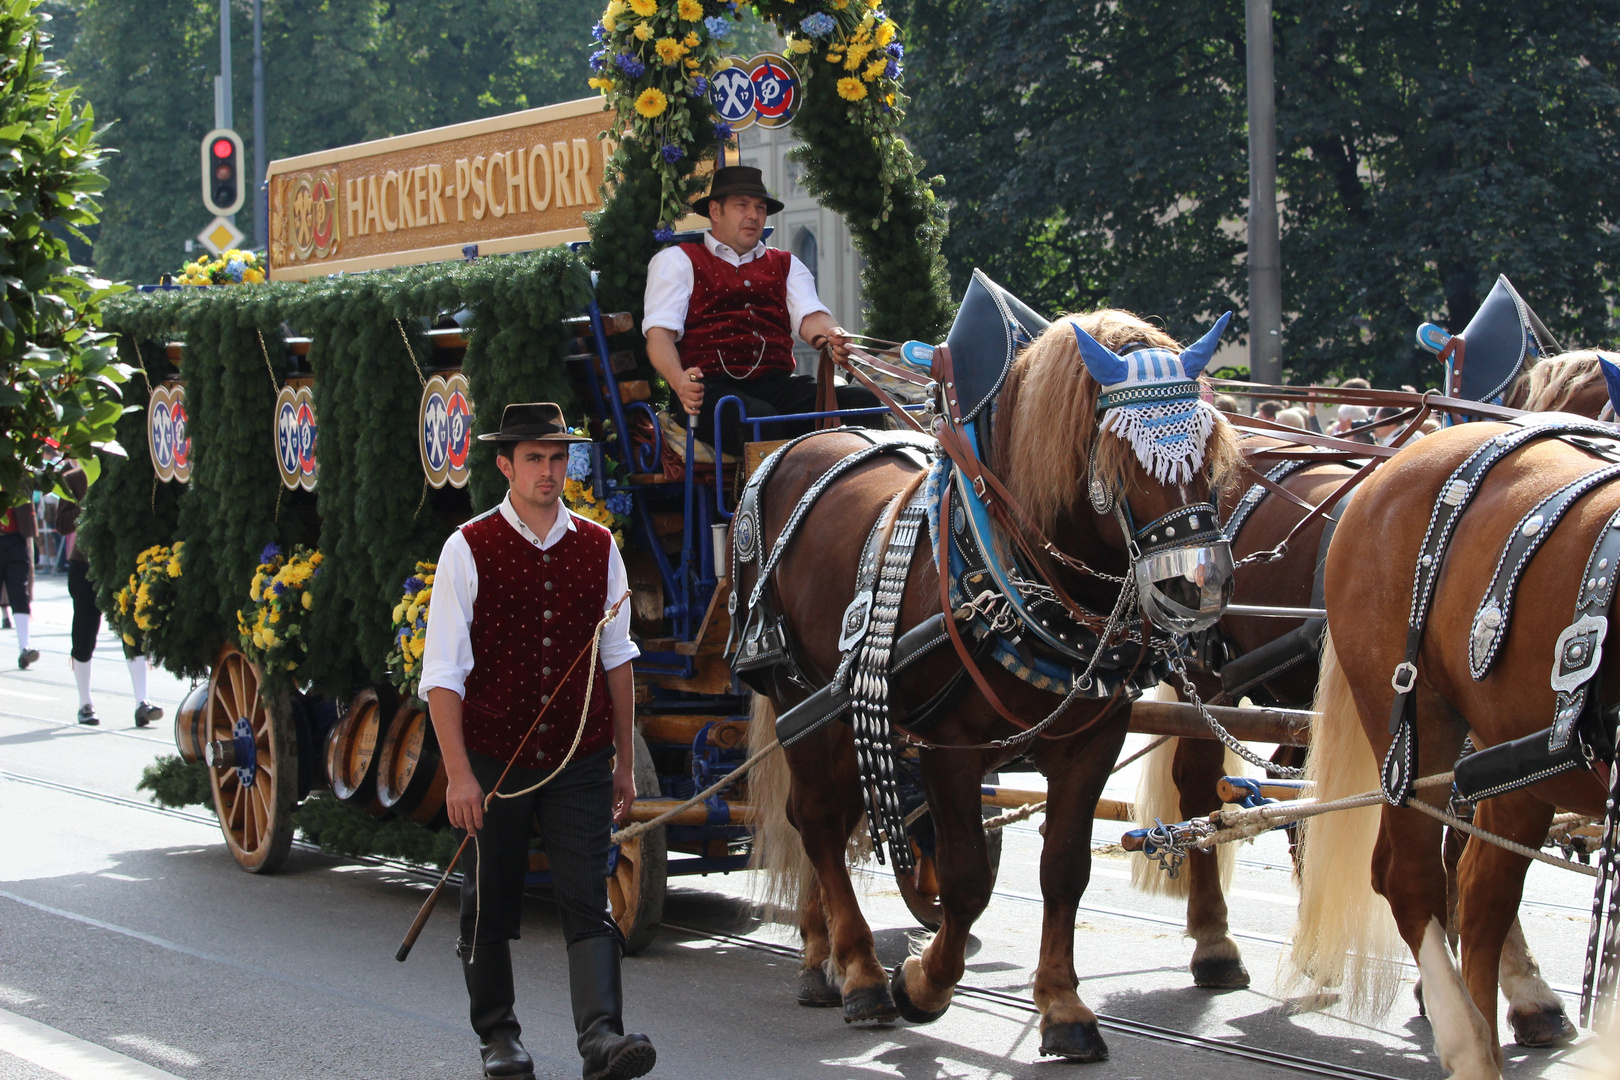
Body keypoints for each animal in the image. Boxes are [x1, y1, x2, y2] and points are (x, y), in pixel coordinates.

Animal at [741, 307, 1237, 1062]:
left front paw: (1062, 1007)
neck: (1009, 567)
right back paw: (859, 972)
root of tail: (806, 441)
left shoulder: (1092, 741)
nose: (1199, 585)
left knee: (826, 816)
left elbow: (1063, 869)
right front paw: (921, 984)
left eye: (1208, 451)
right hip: (800, 697)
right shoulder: (952, 746)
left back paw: (819, 956)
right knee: (820, 820)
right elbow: (968, 877)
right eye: (1122, 458)